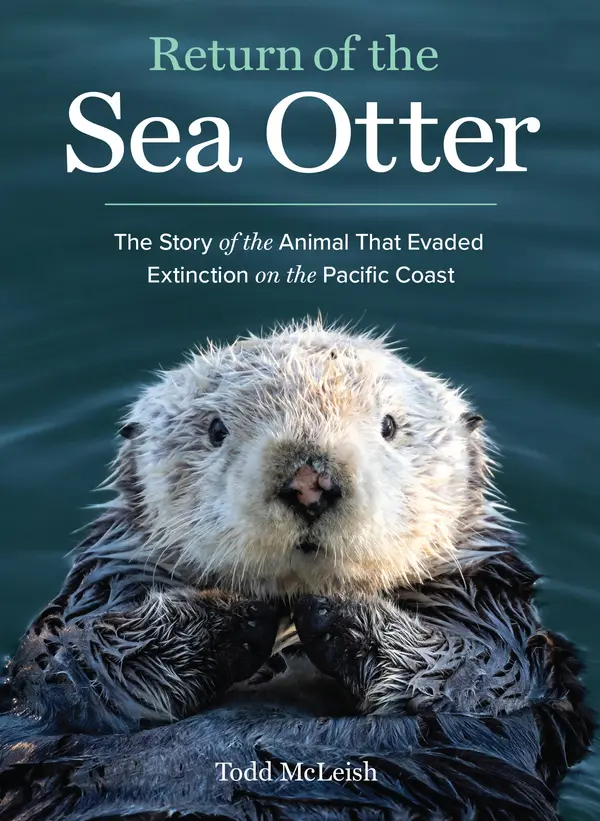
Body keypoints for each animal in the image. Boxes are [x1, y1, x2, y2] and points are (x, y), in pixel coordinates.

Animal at [0, 319, 594, 820]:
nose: (310, 482)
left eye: (389, 425)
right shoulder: (92, 605)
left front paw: (334, 607)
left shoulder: (501, 626)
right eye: (215, 429)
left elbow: (474, 675)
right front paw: (236, 610)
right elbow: (74, 663)